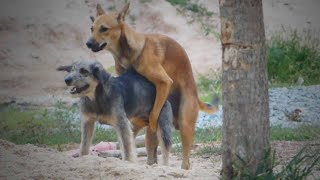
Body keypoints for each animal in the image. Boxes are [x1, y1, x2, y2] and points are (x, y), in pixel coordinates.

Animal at [86, 3, 219, 170]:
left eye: (104, 29)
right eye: (92, 28)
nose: (88, 43)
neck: (127, 52)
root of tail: (196, 96)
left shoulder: (164, 82)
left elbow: (153, 115)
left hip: (185, 124)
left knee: (185, 161)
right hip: (151, 134)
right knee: (149, 152)